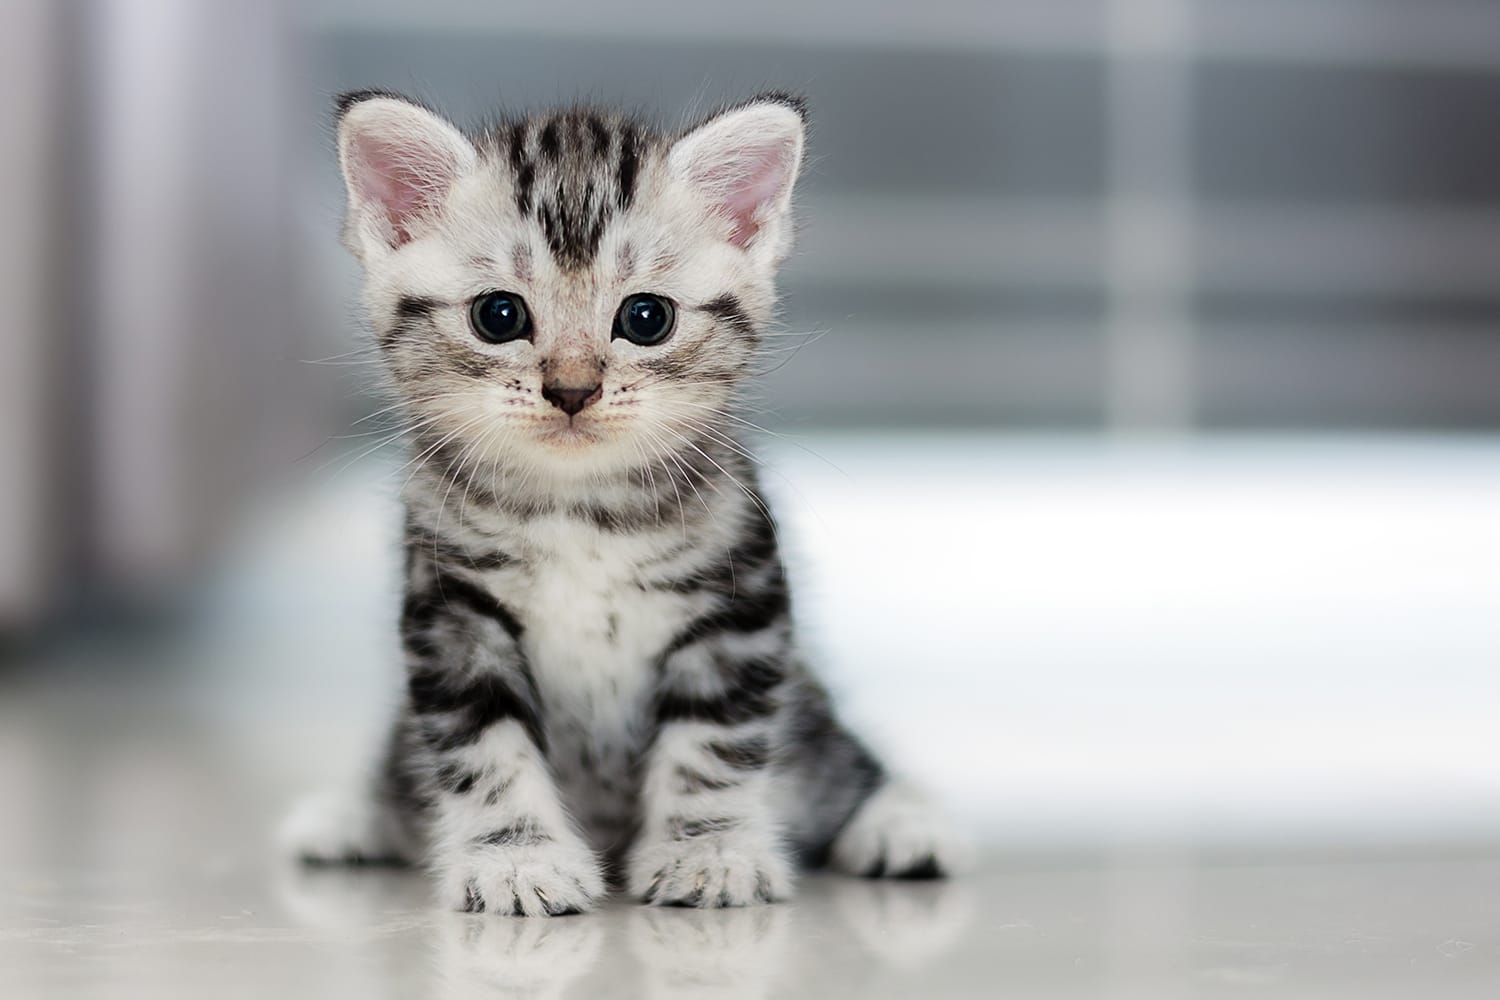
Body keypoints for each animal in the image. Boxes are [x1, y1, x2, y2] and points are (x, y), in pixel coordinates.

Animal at [280, 91, 960, 917]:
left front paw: (707, 853)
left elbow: (712, 747)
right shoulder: (451, 611)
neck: (580, 511)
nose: (572, 390)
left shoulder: (738, 604)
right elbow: (486, 750)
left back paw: (902, 825)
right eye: (498, 316)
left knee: (838, 763)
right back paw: (350, 818)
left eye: (646, 318)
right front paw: (518, 859)